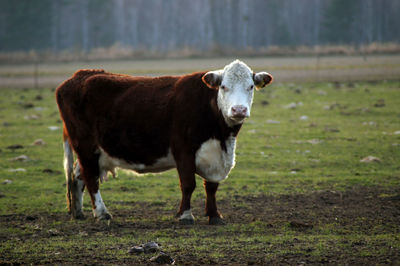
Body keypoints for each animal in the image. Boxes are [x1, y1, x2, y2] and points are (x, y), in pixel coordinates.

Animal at [55, 59, 272, 224]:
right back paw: (102, 213)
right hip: (85, 145)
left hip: (91, 150)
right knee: (91, 178)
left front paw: (214, 215)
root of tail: (80, 75)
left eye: (250, 87)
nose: (238, 110)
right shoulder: (183, 150)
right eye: (224, 87)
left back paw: (78, 212)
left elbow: (211, 187)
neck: (221, 135)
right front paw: (185, 215)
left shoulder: (216, 156)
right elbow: (188, 184)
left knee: (78, 175)